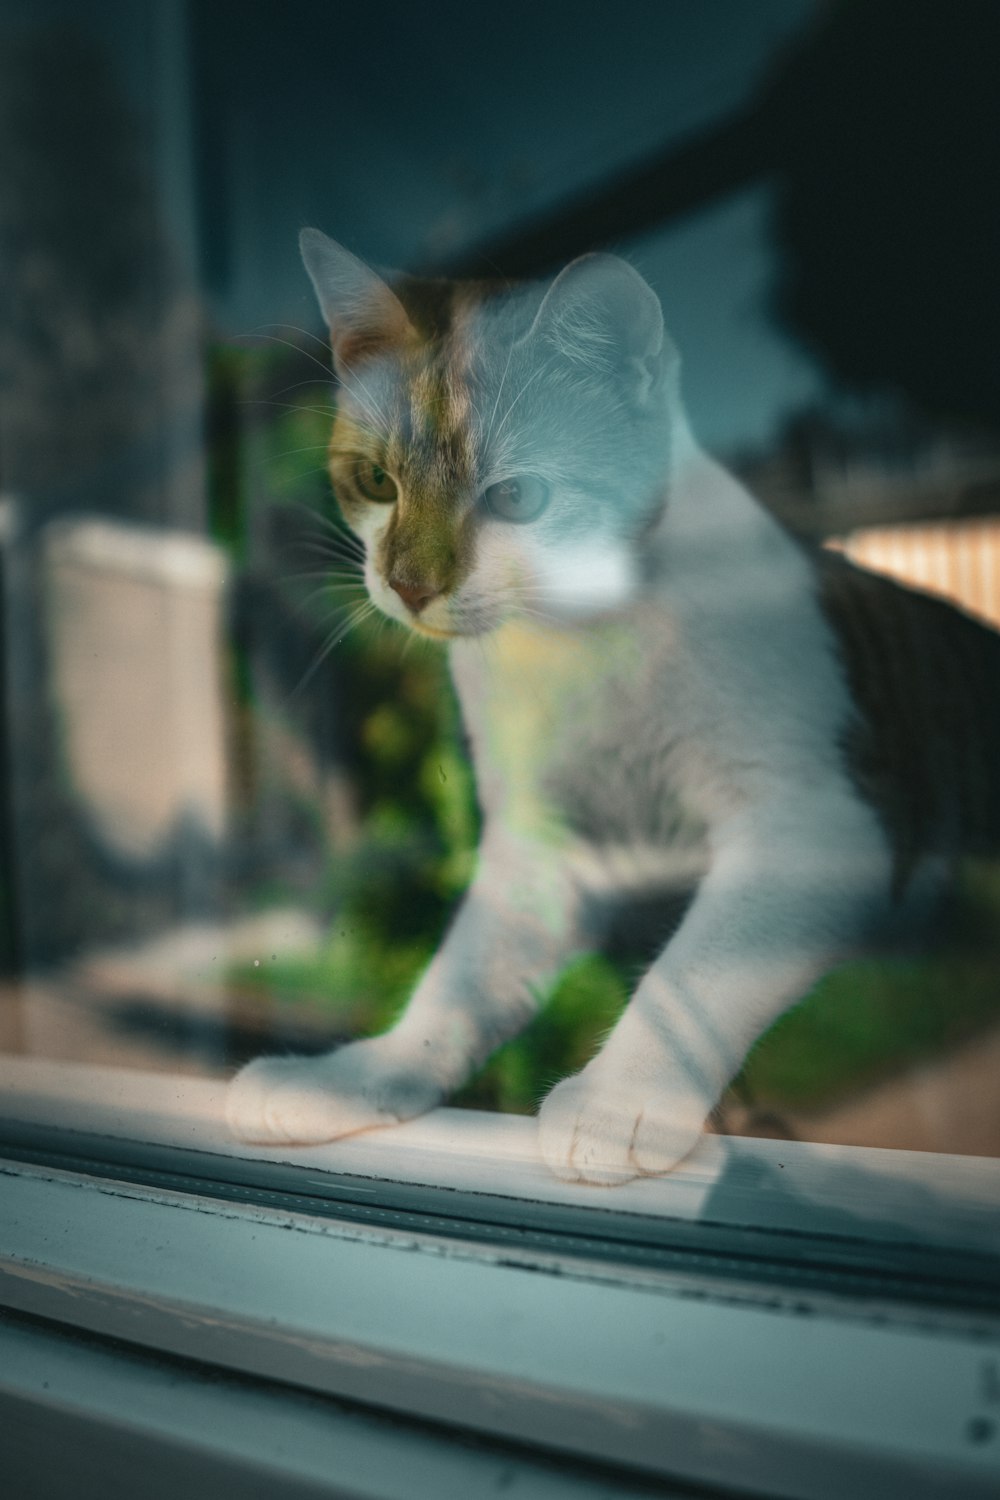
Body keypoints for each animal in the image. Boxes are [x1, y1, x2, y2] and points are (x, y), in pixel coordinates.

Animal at [226, 225, 1000, 1182]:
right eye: (375, 480)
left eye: (518, 496)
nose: (408, 585)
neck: (580, 643)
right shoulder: (541, 846)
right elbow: (459, 980)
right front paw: (359, 1073)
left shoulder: (821, 823)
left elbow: (699, 967)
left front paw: (619, 1098)